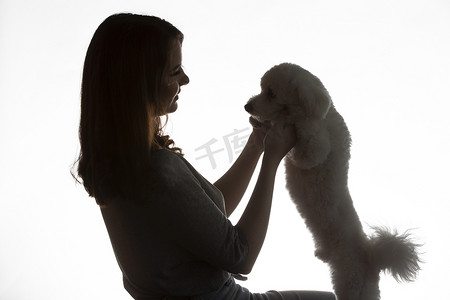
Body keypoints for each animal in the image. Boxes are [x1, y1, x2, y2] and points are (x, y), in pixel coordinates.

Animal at [244, 62, 420, 298]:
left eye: (271, 93)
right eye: (262, 89)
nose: (248, 106)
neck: (321, 112)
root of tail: (371, 257)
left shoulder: (314, 149)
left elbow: (305, 132)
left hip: (350, 283)